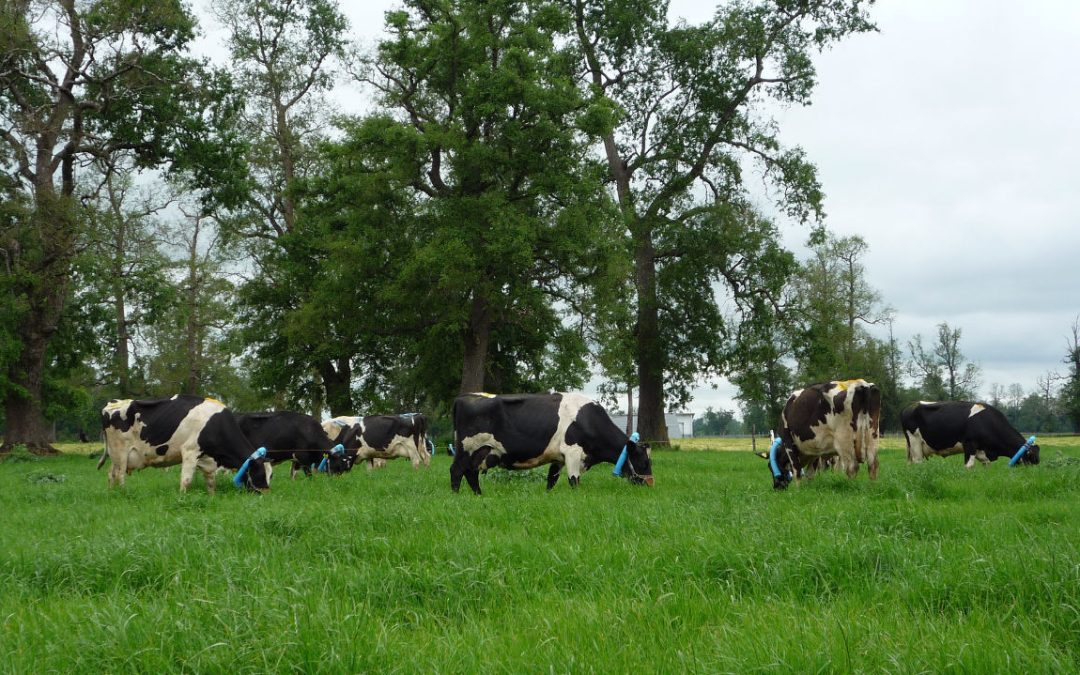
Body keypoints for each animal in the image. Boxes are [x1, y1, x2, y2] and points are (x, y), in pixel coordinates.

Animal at [99, 395, 271, 493]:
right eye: (260, 473)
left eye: (271, 475)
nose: (266, 493)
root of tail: (111, 404)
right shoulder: (190, 451)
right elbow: (186, 481)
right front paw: (182, 498)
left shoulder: (208, 460)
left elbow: (211, 483)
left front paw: (211, 497)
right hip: (120, 452)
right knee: (119, 475)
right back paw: (123, 493)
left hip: (115, 456)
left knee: (110, 473)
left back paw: (111, 493)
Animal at [450, 392, 654, 494]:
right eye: (644, 462)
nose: (650, 484)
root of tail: (463, 398)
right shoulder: (572, 452)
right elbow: (574, 480)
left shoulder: (558, 458)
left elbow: (551, 480)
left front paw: (547, 496)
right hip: (467, 448)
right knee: (457, 470)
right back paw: (456, 495)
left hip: (482, 452)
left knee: (471, 473)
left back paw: (479, 494)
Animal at [901, 401, 1040, 467]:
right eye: (1031, 459)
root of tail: (910, 407)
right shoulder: (969, 443)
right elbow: (969, 465)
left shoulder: (982, 451)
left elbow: (987, 465)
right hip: (915, 443)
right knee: (918, 463)